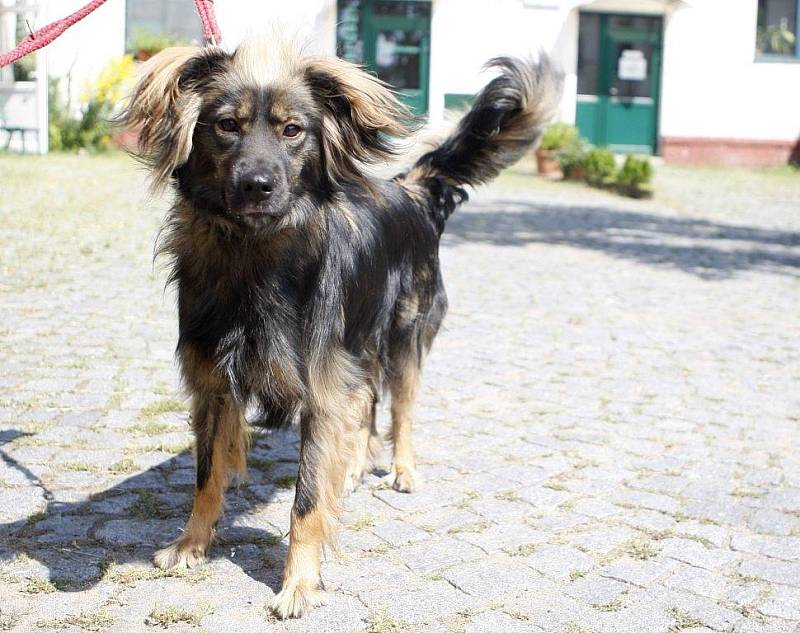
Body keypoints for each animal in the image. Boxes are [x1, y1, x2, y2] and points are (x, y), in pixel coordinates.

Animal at [120, 38, 564, 616]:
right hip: (360, 344)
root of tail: (410, 188)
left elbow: (307, 498)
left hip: (402, 338)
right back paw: (353, 468)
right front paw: (192, 544)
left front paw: (298, 584)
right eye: (226, 125)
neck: (253, 256)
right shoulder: (213, 384)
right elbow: (206, 475)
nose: (257, 186)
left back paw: (400, 470)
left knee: (400, 409)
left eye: (293, 130)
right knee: (366, 404)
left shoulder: (322, 386)